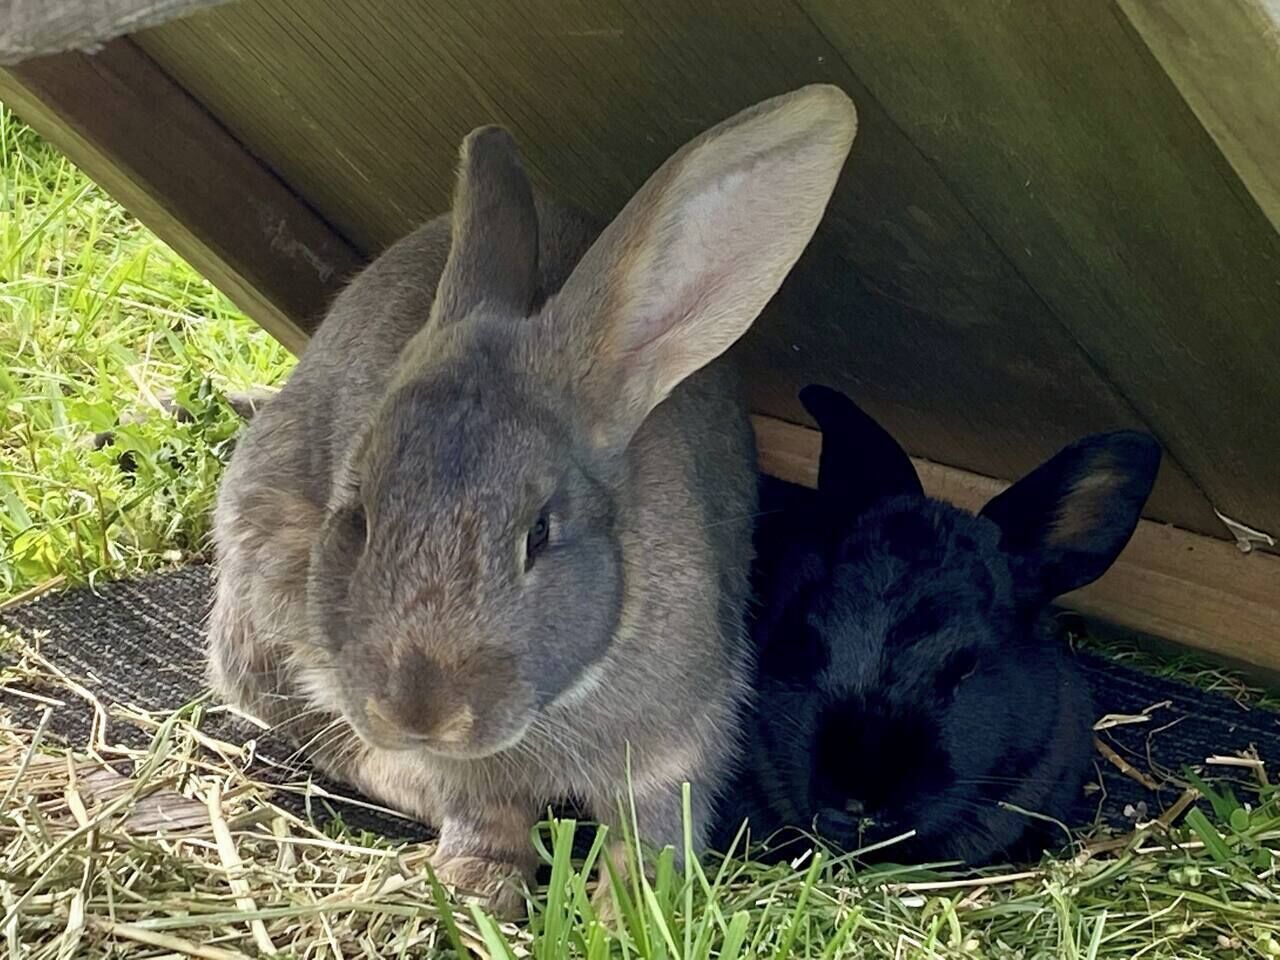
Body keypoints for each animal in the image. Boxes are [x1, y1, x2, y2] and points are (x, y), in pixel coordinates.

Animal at [207, 86, 858, 916]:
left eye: (539, 533)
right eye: (356, 516)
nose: (421, 712)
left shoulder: (679, 746)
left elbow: (650, 836)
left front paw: (627, 914)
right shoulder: (471, 774)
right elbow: (485, 818)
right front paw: (476, 886)